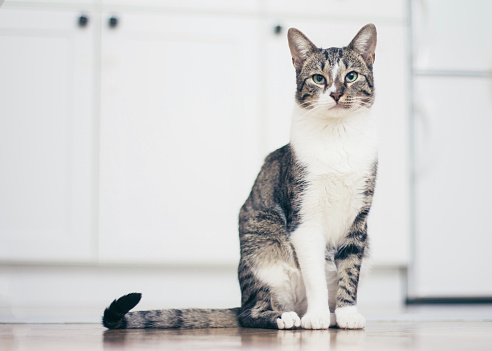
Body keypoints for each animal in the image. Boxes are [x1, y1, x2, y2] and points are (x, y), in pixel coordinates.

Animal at [102, 23, 378, 332]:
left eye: (351, 76)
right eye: (319, 79)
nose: (336, 94)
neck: (337, 137)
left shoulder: (358, 218)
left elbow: (350, 269)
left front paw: (347, 314)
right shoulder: (304, 218)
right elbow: (315, 273)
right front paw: (317, 316)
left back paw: (329, 316)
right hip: (264, 247)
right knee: (250, 313)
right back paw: (288, 317)